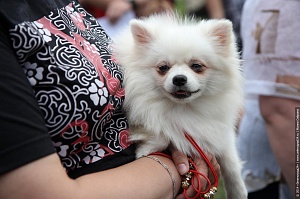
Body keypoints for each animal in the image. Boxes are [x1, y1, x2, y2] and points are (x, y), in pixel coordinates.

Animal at [113, 12, 247, 199]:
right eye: (163, 67)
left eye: (196, 66)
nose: (179, 79)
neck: (183, 108)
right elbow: (161, 130)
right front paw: (146, 149)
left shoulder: (219, 130)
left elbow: (230, 162)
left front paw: (238, 191)